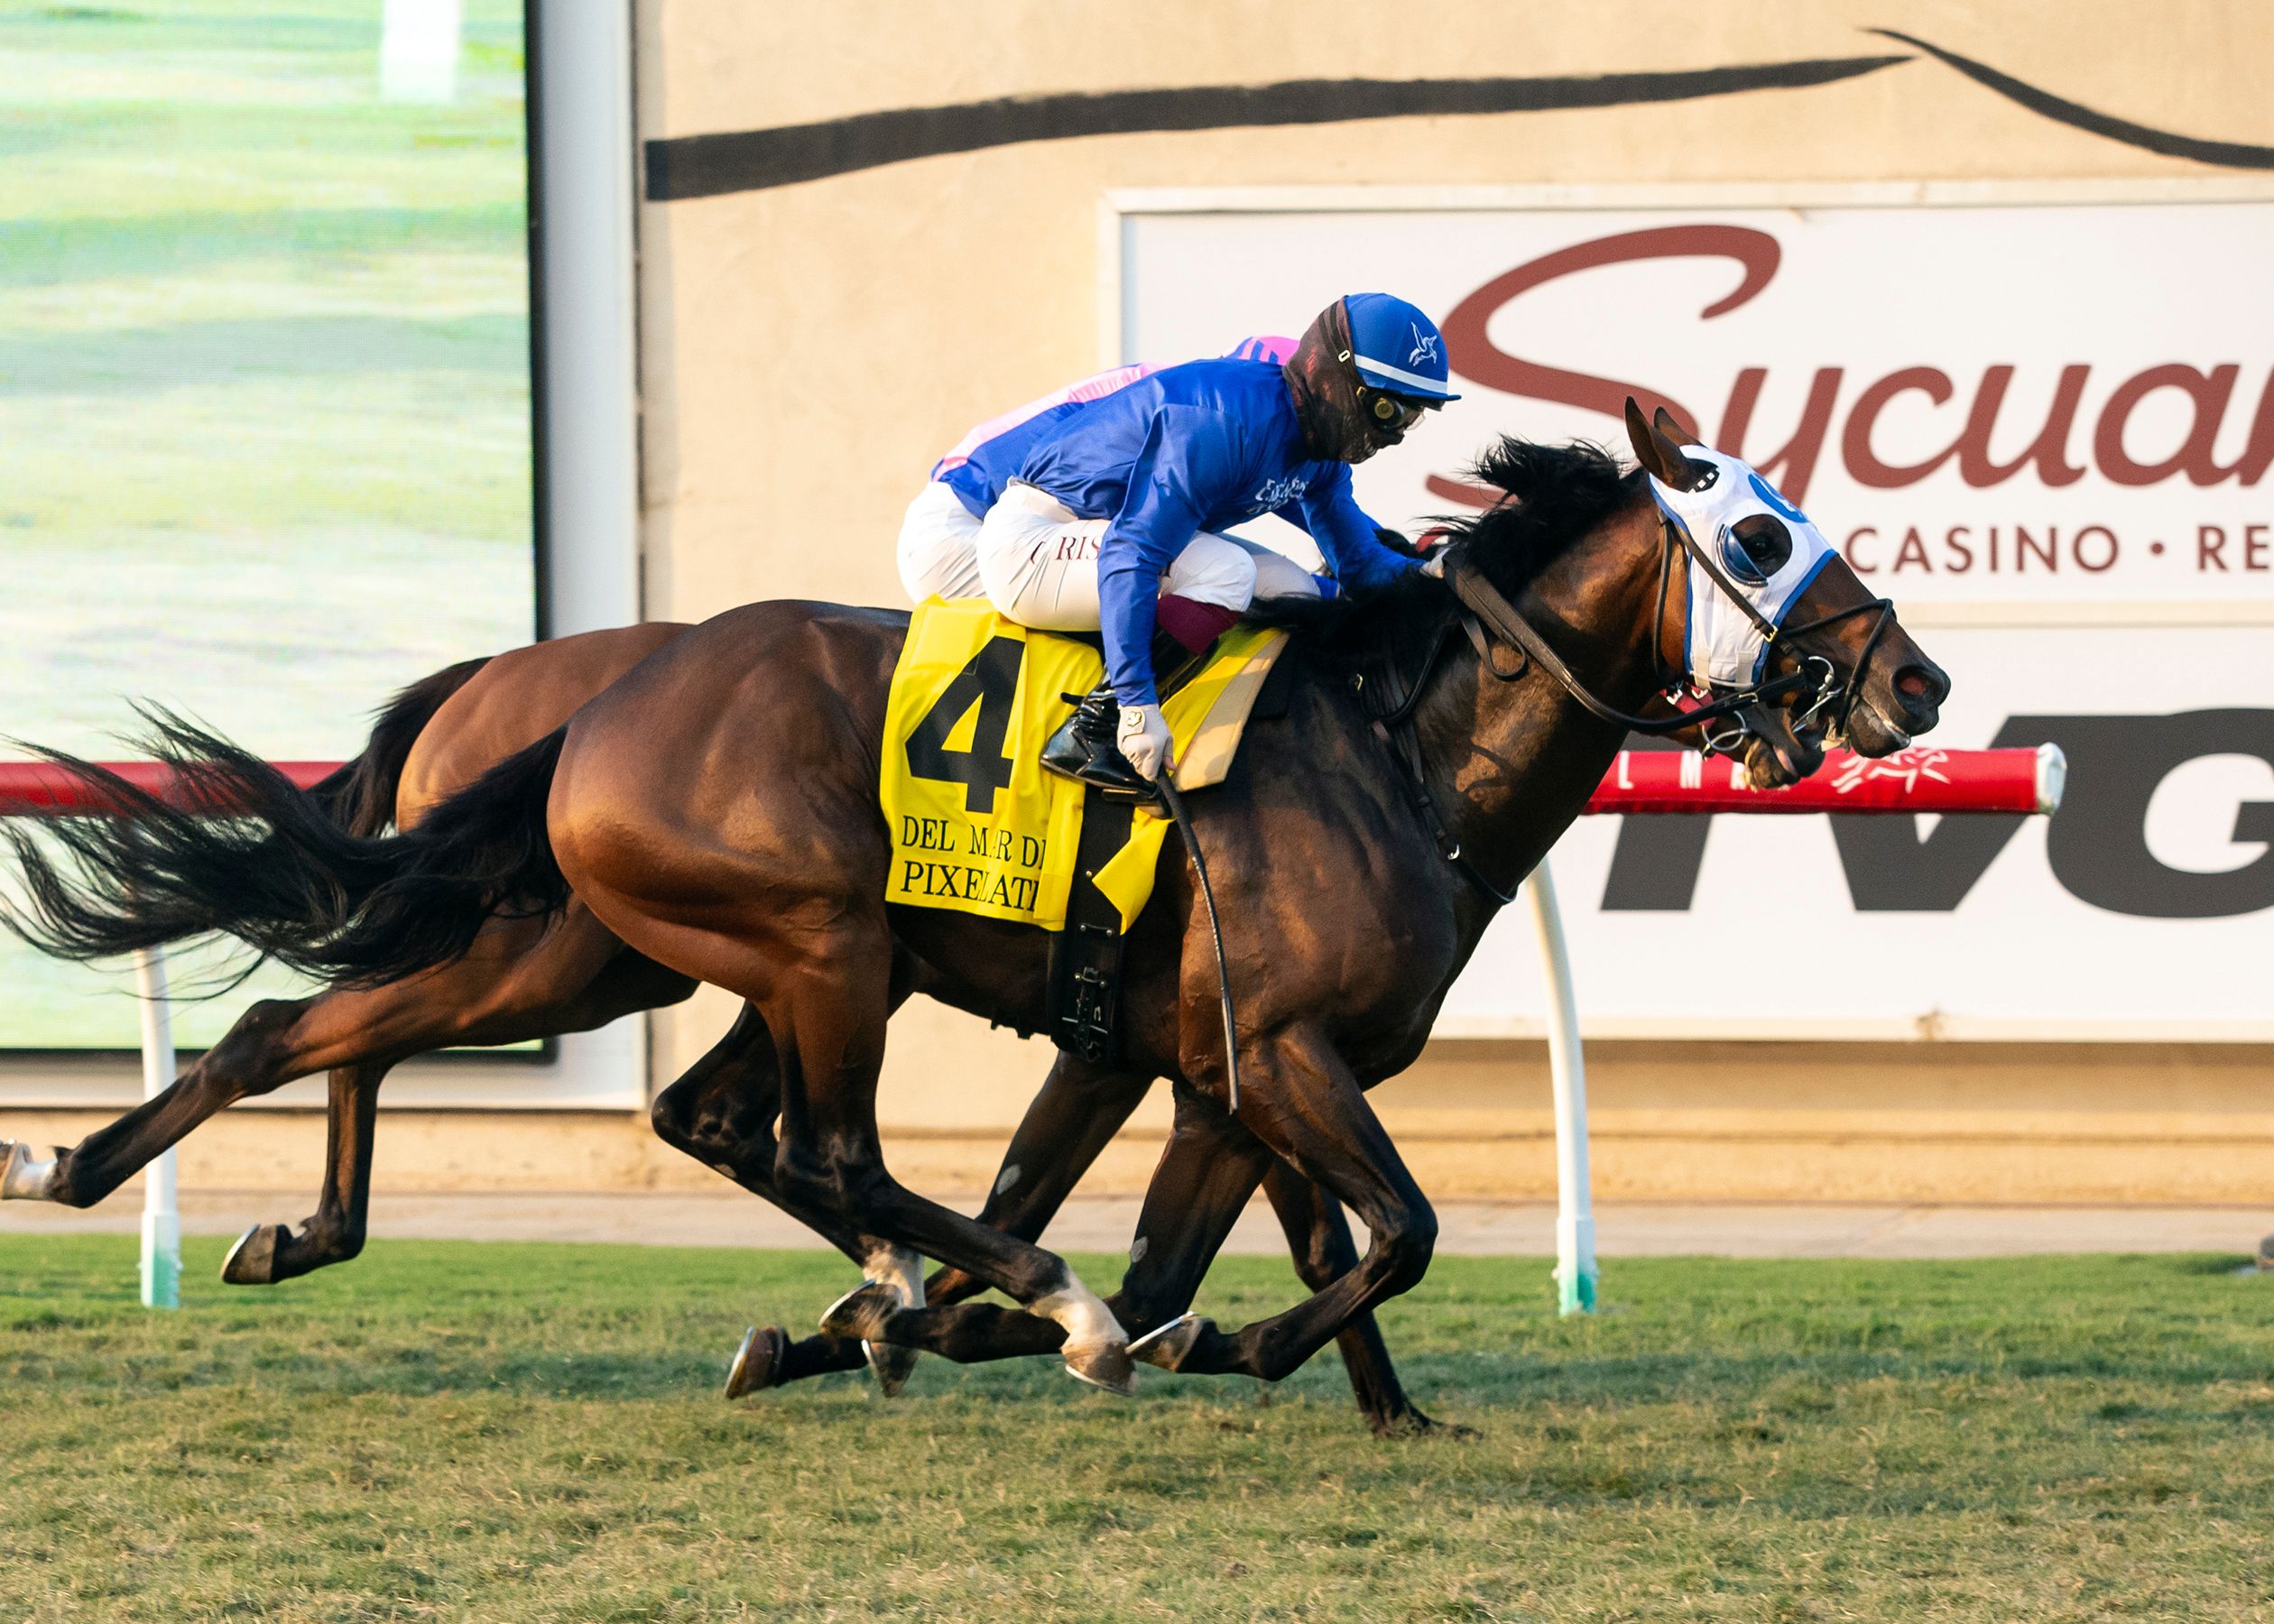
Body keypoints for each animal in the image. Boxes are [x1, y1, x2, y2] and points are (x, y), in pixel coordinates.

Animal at [0, 403, 1948, 1400]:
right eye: (1759, 537)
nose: (1915, 683)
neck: (1397, 744)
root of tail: (598, 699)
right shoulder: (1275, 1052)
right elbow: (1380, 1232)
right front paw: (1137, 1333)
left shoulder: (1202, 1069)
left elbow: (1231, 1243)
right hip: (806, 945)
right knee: (823, 1147)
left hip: (594, 947)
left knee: (312, 1024)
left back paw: (139, 1182)